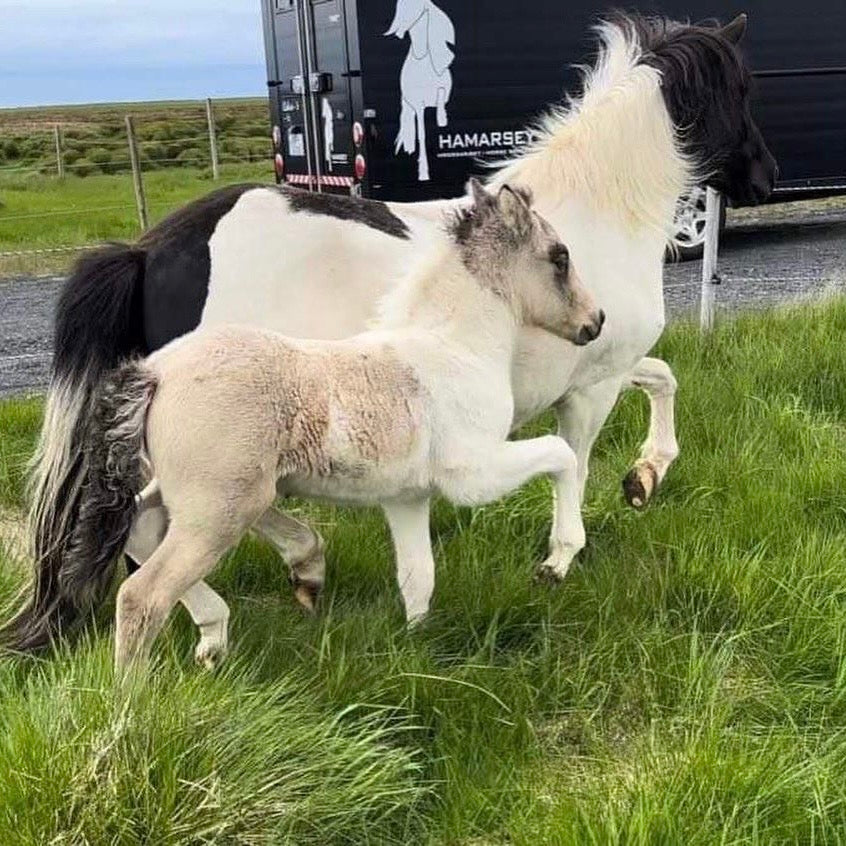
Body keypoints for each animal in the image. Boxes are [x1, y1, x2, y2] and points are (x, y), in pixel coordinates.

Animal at [4, 181, 603, 670]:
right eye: (560, 256)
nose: (594, 323)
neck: (450, 346)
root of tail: (156, 373)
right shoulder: (475, 472)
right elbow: (561, 453)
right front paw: (559, 557)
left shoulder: (407, 498)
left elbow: (418, 580)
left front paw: (415, 651)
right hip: (219, 510)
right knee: (140, 595)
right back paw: (133, 710)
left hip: (166, 493)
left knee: (136, 537)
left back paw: (221, 632)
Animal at [386, 0, 455, 181]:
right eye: (400, 7)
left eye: (416, 7)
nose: (398, 33)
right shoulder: (418, 105)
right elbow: (421, 135)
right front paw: (423, 171)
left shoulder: (442, 90)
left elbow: (441, 102)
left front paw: (442, 118)